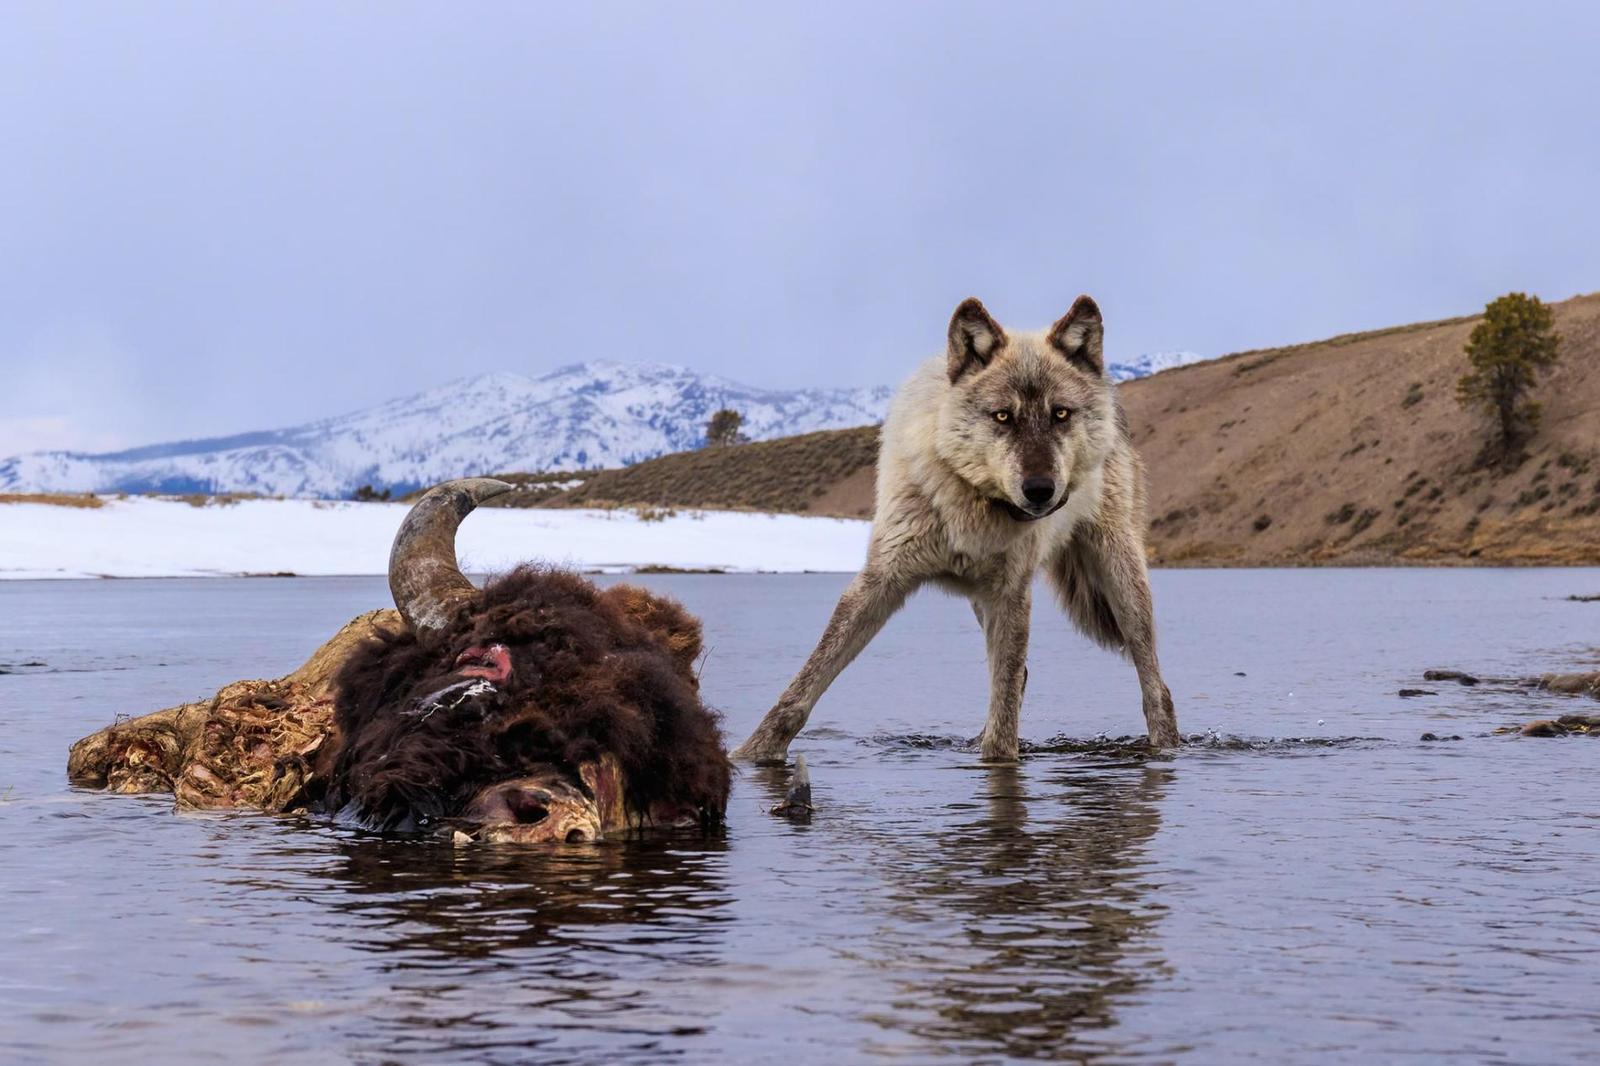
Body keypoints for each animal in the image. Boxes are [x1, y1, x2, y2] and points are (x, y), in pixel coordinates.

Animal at [732, 294, 1184, 758]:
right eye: (1002, 416)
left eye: (1060, 414)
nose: (1040, 490)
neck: (972, 507)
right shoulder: (881, 581)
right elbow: (806, 682)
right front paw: (752, 753)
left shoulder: (1011, 595)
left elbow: (1003, 723)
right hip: (986, 602)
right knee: (1019, 678)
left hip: (1121, 581)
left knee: (1155, 686)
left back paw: (1166, 744)